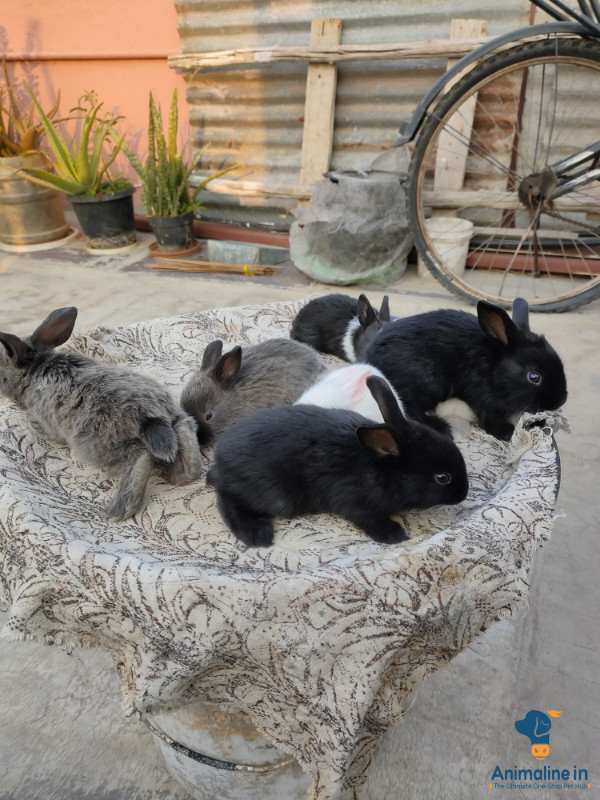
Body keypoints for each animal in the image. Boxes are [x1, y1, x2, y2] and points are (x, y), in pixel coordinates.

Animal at [0, 307, 202, 522]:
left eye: (1, 374)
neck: (34, 368)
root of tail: (151, 416)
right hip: (174, 416)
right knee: (185, 428)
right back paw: (181, 476)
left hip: (102, 444)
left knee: (140, 455)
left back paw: (116, 512)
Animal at [207, 375, 469, 547]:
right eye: (442, 478)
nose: (464, 493)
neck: (379, 468)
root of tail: (220, 461)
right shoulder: (354, 501)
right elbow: (369, 518)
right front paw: (395, 534)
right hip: (272, 494)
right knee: (226, 499)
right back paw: (257, 534)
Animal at [364, 297, 568, 441]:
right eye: (534, 376)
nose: (560, 401)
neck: (494, 366)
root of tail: (370, 357)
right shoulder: (481, 396)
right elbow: (490, 418)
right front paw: (508, 432)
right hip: (428, 381)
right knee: (410, 407)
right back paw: (441, 427)